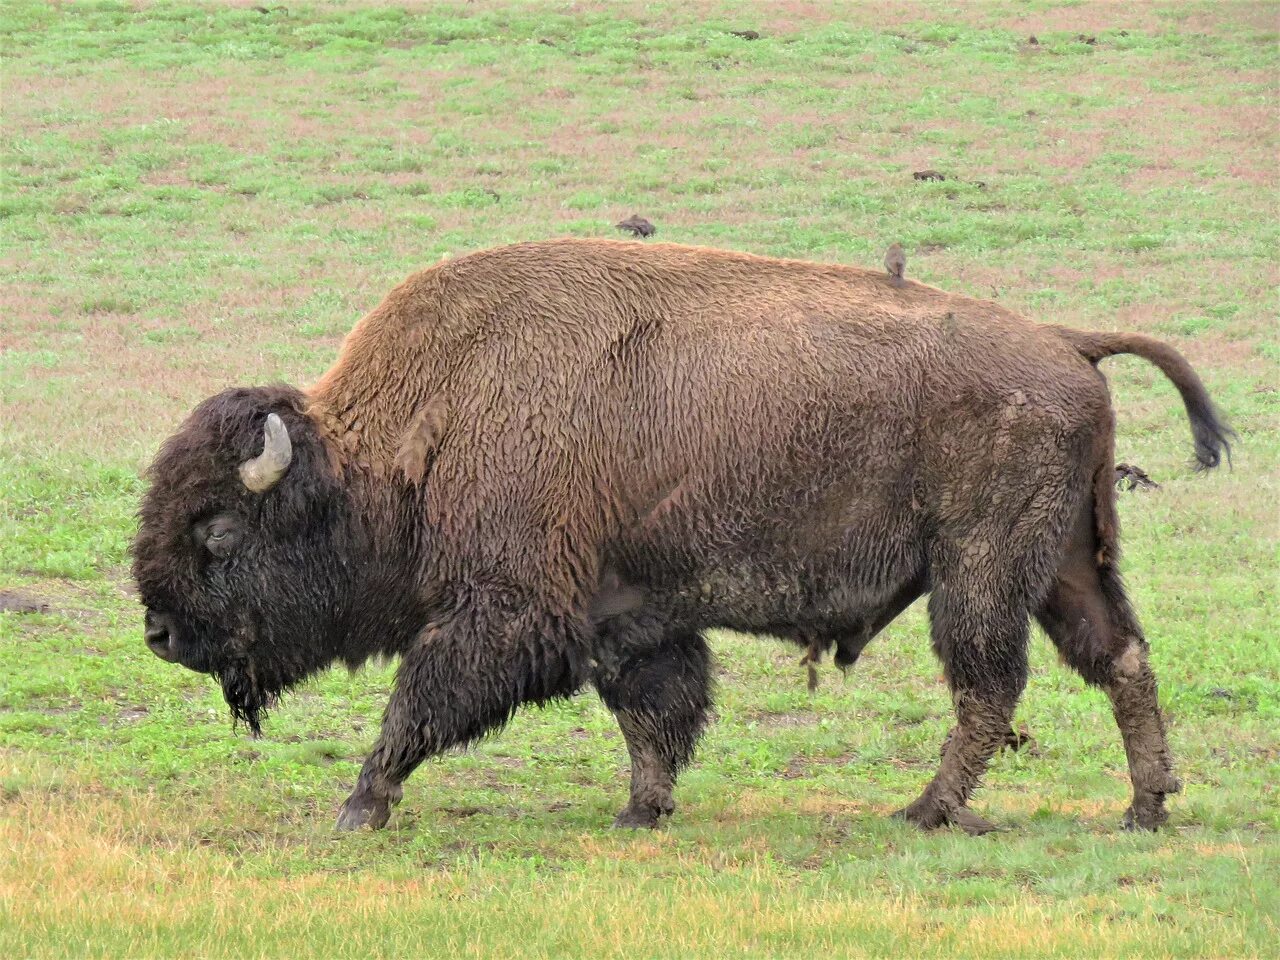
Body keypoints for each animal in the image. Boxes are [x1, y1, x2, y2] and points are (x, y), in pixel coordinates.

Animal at [129, 239, 1228, 834]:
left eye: (218, 532)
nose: (161, 635)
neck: (418, 431)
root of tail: (1066, 343)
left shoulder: (503, 611)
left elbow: (422, 705)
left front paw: (360, 804)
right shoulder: (629, 614)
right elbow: (653, 711)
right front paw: (640, 809)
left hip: (979, 572)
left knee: (988, 686)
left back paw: (925, 810)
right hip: (1066, 562)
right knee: (1119, 658)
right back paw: (1144, 806)